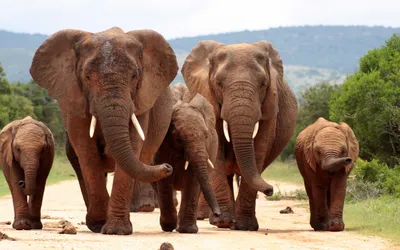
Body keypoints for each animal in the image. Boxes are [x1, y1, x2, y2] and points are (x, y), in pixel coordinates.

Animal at [31, 26, 180, 234]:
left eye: (134, 76)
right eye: (86, 77)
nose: (168, 167)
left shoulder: (140, 100)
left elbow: (132, 146)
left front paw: (117, 230)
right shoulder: (75, 101)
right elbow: (87, 151)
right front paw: (99, 224)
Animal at [154, 84, 222, 234]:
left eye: (206, 136)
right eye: (179, 138)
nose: (218, 214)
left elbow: (193, 179)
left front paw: (188, 230)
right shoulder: (162, 144)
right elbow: (165, 179)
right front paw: (169, 227)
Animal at [181, 39, 296, 230]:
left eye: (263, 84)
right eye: (218, 83)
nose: (270, 190)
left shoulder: (270, 105)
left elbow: (259, 150)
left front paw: (245, 226)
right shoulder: (209, 96)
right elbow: (218, 150)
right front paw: (224, 222)